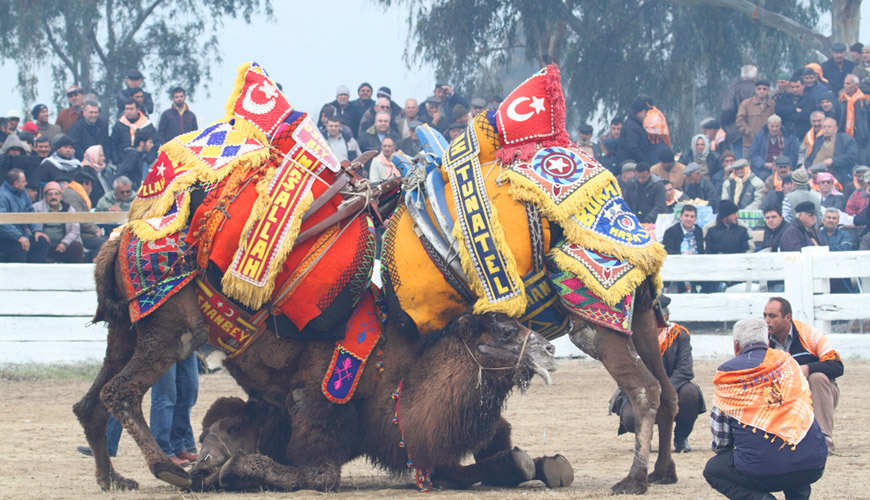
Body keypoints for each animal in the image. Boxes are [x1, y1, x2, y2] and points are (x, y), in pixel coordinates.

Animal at [187, 310, 568, 490]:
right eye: (505, 331)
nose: (551, 350)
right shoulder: (318, 409)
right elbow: (319, 476)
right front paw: (233, 469)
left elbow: (491, 459)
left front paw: (543, 463)